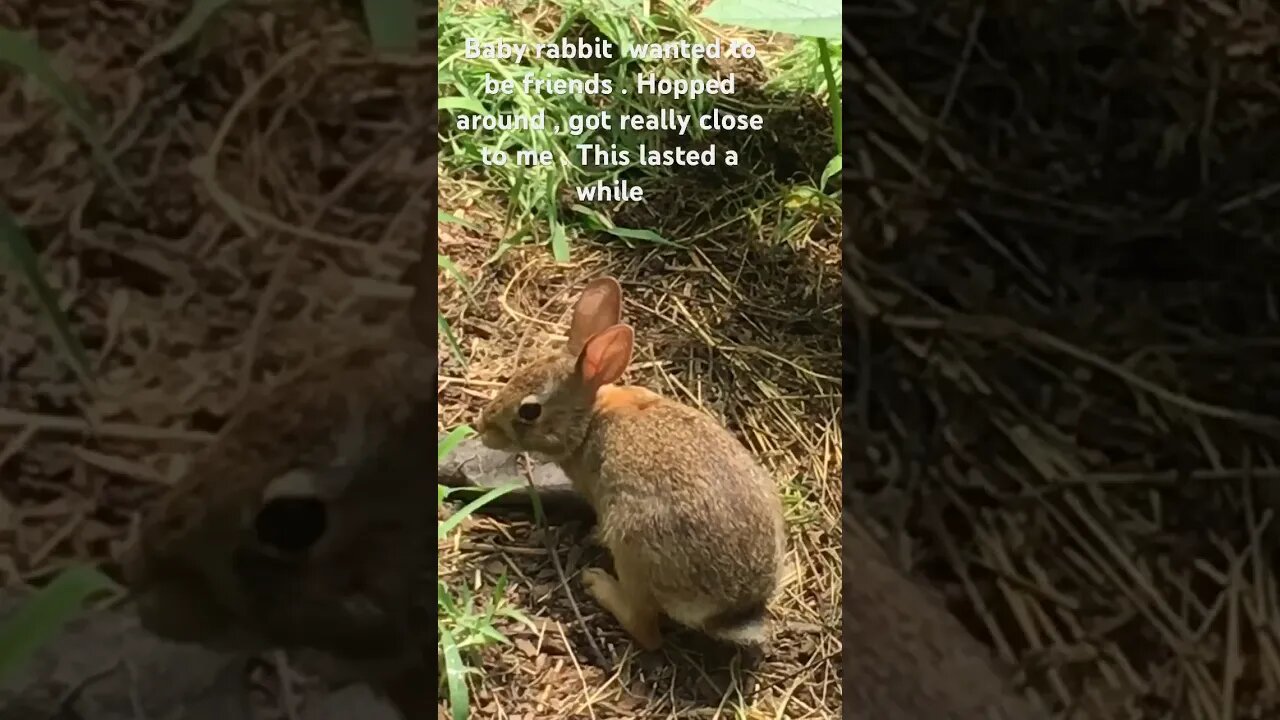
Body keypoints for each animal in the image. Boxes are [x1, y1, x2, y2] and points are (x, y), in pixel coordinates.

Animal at [476, 274, 783, 645]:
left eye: (530, 411)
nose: (482, 427)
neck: (591, 418)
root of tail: (732, 611)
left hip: (632, 546)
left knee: (647, 630)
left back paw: (599, 584)